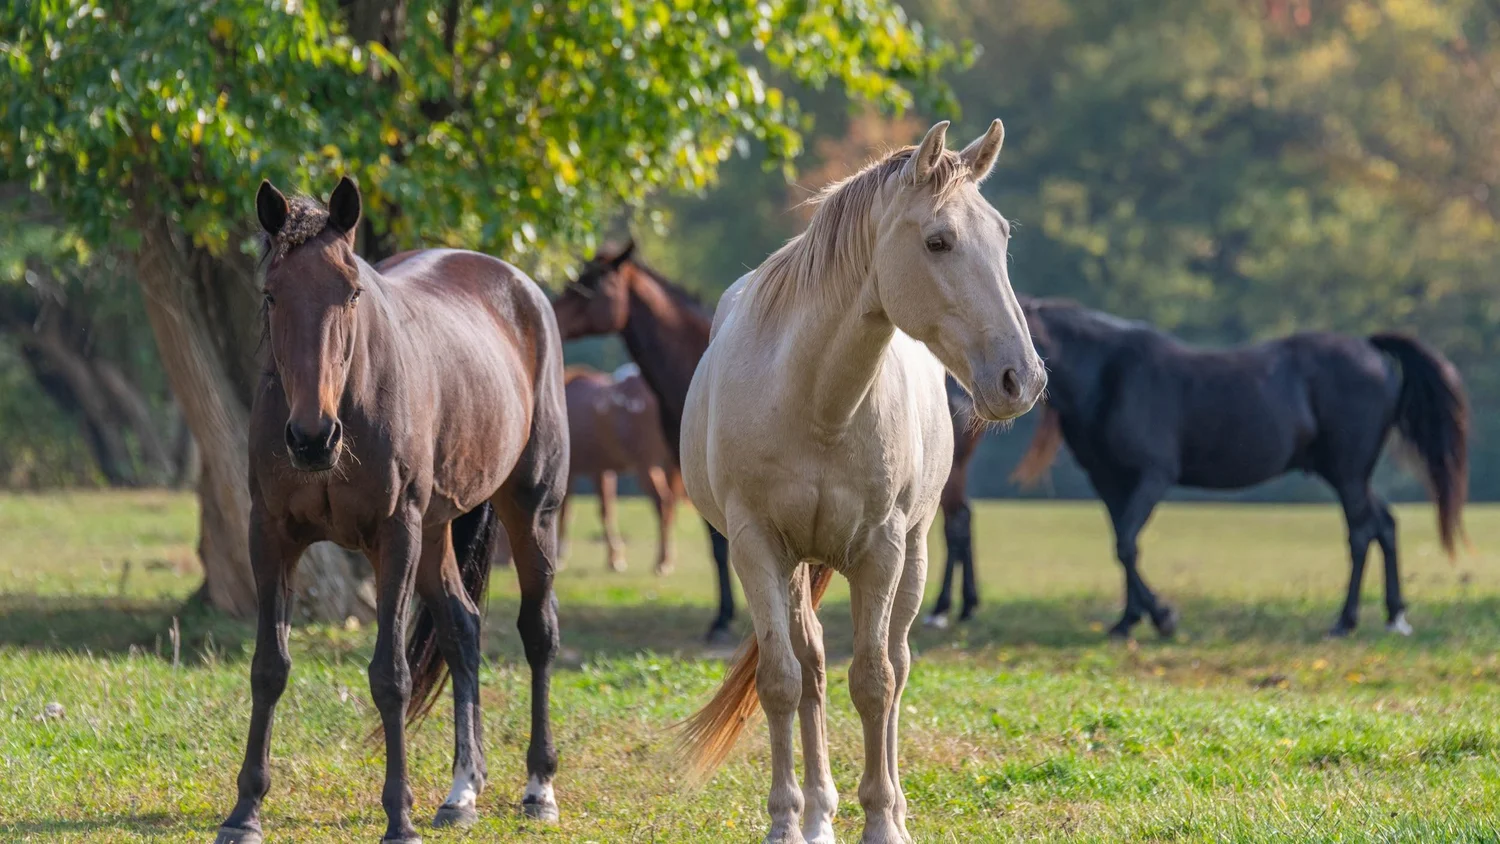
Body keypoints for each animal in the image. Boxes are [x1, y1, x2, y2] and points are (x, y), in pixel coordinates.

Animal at [215, 177, 568, 844]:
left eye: (351, 291)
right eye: (272, 294)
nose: (312, 438)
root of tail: (520, 287)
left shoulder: (393, 534)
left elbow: (390, 676)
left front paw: (398, 816)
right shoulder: (268, 534)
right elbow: (268, 666)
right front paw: (244, 811)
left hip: (530, 511)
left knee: (538, 633)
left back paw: (538, 787)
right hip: (435, 535)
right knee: (462, 629)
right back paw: (462, 791)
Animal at [560, 363, 682, 574]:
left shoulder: (571, 471)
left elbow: (565, 511)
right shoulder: (601, 470)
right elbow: (606, 510)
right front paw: (614, 558)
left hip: (646, 465)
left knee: (662, 502)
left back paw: (662, 561)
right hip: (667, 464)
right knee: (670, 504)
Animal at [679, 120, 1046, 844]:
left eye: (1001, 237)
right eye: (938, 240)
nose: (1022, 378)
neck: (816, 401)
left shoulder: (882, 550)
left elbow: (875, 682)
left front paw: (881, 821)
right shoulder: (757, 548)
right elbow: (784, 680)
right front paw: (786, 822)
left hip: (917, 552)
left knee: (896, 665)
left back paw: (892, 808)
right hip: (798, 566)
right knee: (813, 667)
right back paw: (819, 814)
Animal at [1008, 296, 1468, 640]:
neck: (1109, 375)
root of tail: (1370, 349)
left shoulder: (1152, 477)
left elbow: (1126, 544)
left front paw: (1163, 617)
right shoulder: (1109, 482)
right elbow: (1124, 545)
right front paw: (1128, 621)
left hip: (1348, 472)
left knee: (1360, 533)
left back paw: (1344, 621)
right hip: (1346, 473)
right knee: (1384, 525)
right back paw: (1394, 616)